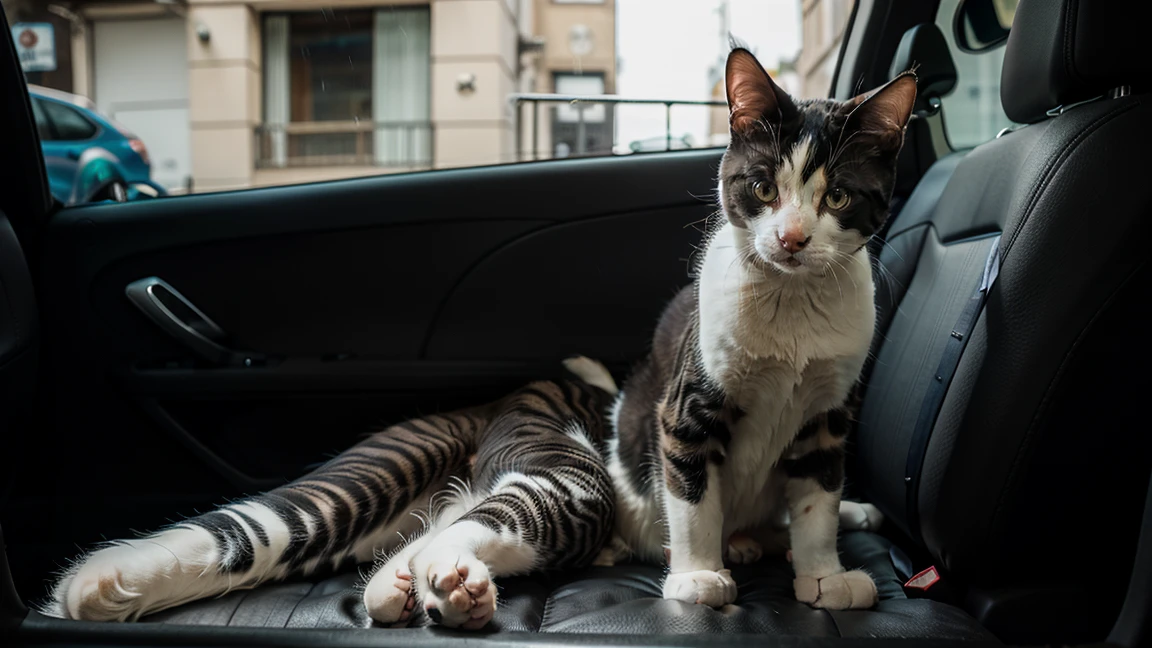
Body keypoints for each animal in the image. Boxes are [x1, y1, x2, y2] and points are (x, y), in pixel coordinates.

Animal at [589, 49, 912, 604]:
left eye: (840, 197)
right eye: (763, 187)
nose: (792, 238)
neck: (792, 300)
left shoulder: (827, 413)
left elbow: (817, 499)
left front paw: (823, 574)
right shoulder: (691, 403)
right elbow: (693, 492)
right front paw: (698, 574)